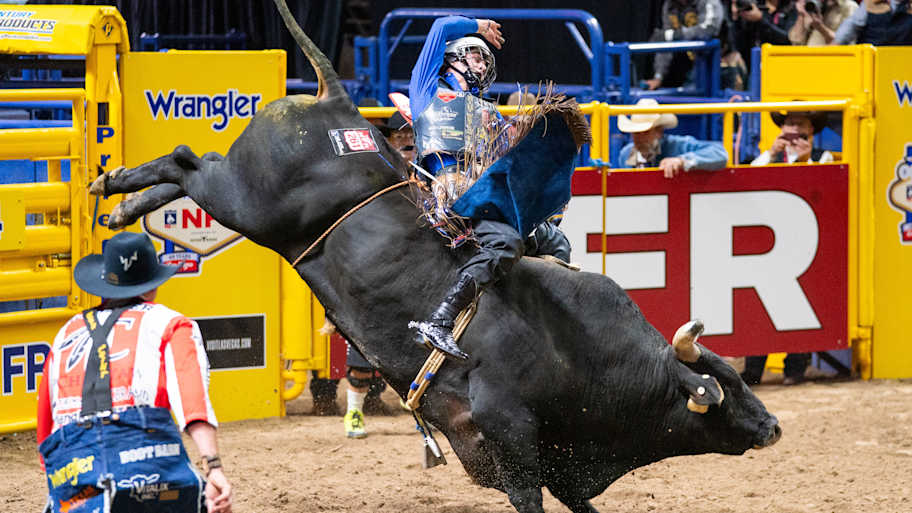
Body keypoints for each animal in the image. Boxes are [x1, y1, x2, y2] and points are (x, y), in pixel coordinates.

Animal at [90, 2, 781, 512]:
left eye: (739, 376)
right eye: (724, 389)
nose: (773, 426)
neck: (581, 352)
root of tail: (337, 102)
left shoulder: (564, 455)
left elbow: (577, 500)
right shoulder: (508, 433)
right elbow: (530, 494)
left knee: (188, 167)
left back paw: (122, 203)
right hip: (248, 203)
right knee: (186, 159)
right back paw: (116, 188)